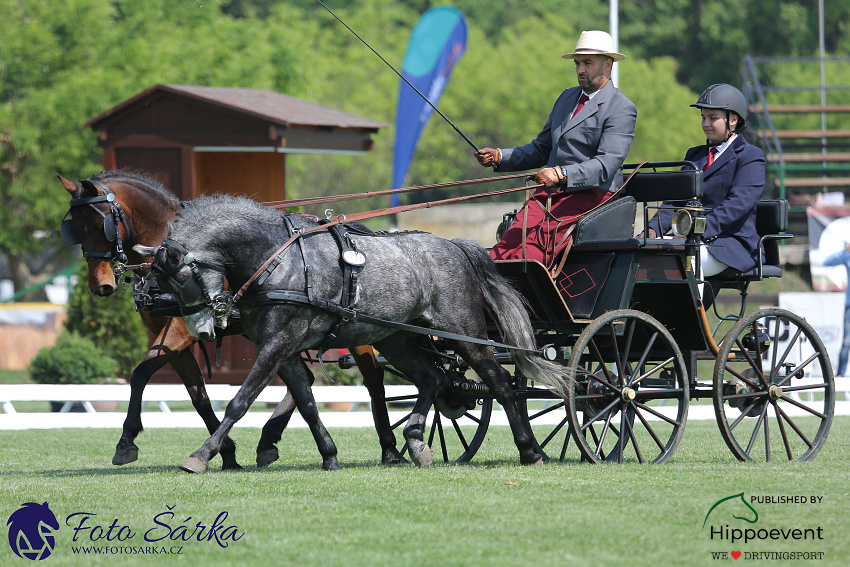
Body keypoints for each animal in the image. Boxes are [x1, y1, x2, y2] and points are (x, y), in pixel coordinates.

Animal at [139, 196, 568, 474]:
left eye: (182, 280)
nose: (203, 329)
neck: (276, 259)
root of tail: (456, 246)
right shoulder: (285, 350)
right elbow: (307, 403)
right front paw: (328, 454)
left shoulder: (278, 345)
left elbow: (239, 402)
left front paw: (201, 454)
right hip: (396, 340)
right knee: (434, 378)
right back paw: (416, 440)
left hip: (463, 333)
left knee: (499, 383)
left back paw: (530, 450)